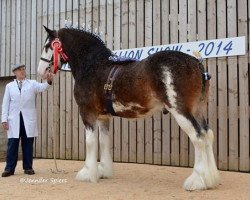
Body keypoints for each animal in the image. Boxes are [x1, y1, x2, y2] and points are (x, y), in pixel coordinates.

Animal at [36, 26, 219, 191]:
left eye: (47, 46)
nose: (41, 71)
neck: (93, 66)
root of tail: (196, 63)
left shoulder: (87, 113)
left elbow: (90, 142)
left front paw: (87, 173)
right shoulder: (103, 117)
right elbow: (103, 141)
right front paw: (104, 172)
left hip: (181, 111)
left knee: (198, 137)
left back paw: (197, 181)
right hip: (197, 110)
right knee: (207, 135)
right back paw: (210, 179)